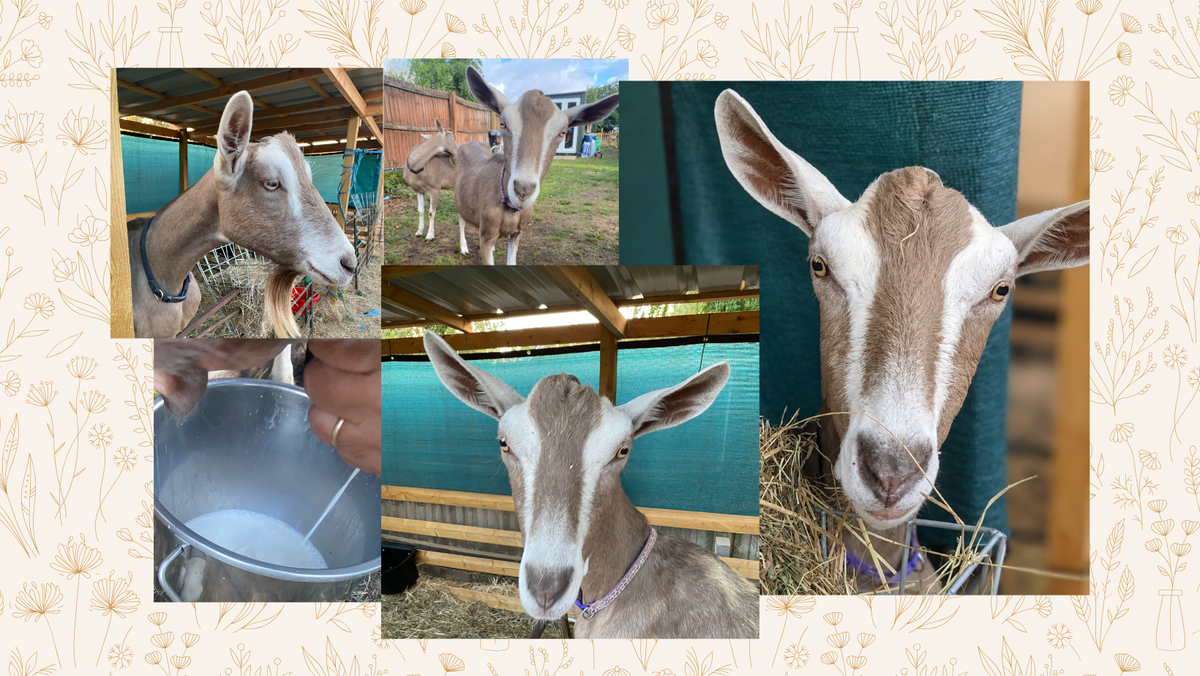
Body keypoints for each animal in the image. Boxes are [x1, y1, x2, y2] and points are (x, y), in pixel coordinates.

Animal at [452, 66, 619, 264]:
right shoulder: (486, 234)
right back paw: (463, 247)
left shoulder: (516, 234)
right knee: (461, 219)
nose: (523, 190)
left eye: (563, 132)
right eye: (503, 123)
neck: (510, 209)